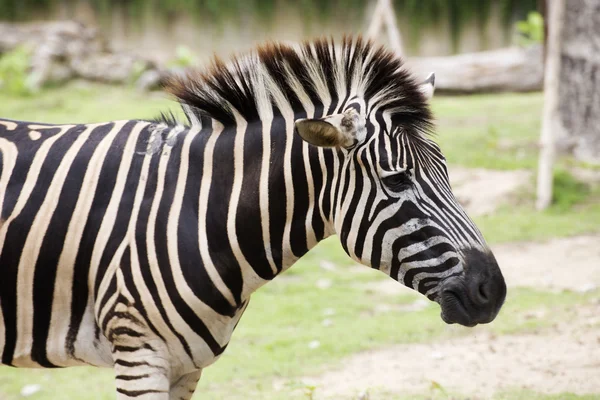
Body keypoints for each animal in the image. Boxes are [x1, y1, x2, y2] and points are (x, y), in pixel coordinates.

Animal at [1, 36, 506, 396]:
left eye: (446, 171)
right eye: (398, 181)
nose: (494, 291)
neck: (196, 213)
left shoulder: (185, 368)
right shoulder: (139, 356)